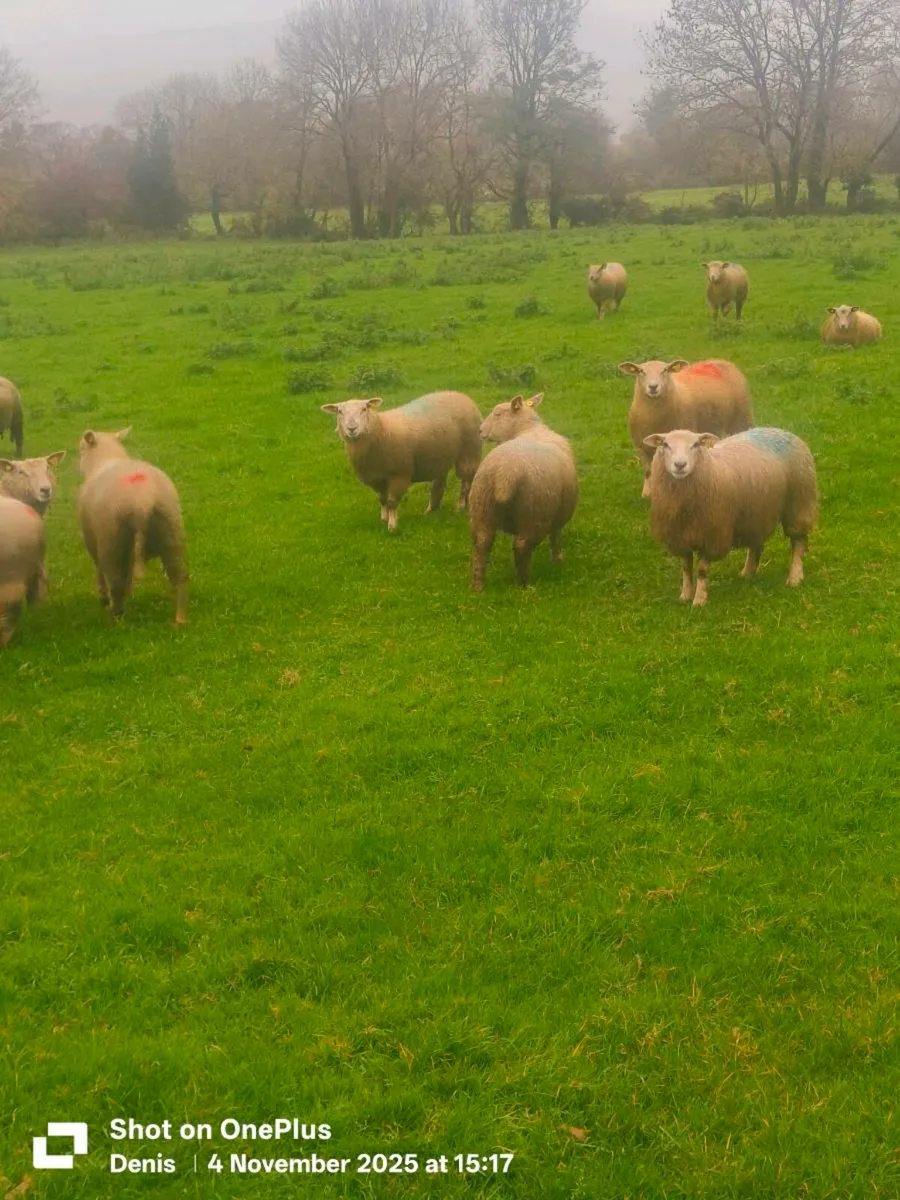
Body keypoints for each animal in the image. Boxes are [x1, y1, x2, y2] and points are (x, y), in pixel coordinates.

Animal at [78, 428, 188, 625]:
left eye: (81, 449)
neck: (106, 458)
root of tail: (142, 500)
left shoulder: (92, 540)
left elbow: (100, 570)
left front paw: (103, 597)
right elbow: (127, 572)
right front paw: (130, 593)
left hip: (110, 540)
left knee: (115, 583)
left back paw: (115, 618)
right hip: (171, 530)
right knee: (180, 577)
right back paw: (181, 619)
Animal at [320, 390, 483, 532]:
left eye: (364, 408)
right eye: (339, 411)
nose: (352, 428)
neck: (380, 428)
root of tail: (460, 394)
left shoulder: (399, 474)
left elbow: (392, 501)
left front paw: (392, 526)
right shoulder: (377, 477)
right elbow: (382, 499)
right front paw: (384, 518)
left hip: (469, 450)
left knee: (466, 481)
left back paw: (460, 506)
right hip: (440, 456)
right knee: (439, 484)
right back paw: (431, 510)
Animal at [469, 393, 578, 590]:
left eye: (497, 414)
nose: (479, 431)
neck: (528, 428)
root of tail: (506, 474)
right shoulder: (558, 514)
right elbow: (556, 535)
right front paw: (558, 559)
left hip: (481, 504)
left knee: (482, 542)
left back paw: (478, 586)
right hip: (535, 511)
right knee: (522, 546)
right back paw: (522, 584)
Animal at [618, 358, 754, 497]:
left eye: (665, 370)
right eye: (641, 371)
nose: (653, 387)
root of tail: (721, 360)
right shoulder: (641, 447)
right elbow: (648, 471)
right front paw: (647, 493)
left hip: (742, 417)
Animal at [643, 427, 818, 609]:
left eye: (696, 444)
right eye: (665, 444)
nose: (680, 465)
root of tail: (780, 430)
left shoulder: (713, 536)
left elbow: (702, 571)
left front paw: (699, 600)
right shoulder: (681, 536)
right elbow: (685, 567)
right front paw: (685, 595)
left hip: (799, 502)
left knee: (798, 543)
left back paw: (795, 577)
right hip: (755, 512)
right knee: (756, 545)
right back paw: (748, 572)